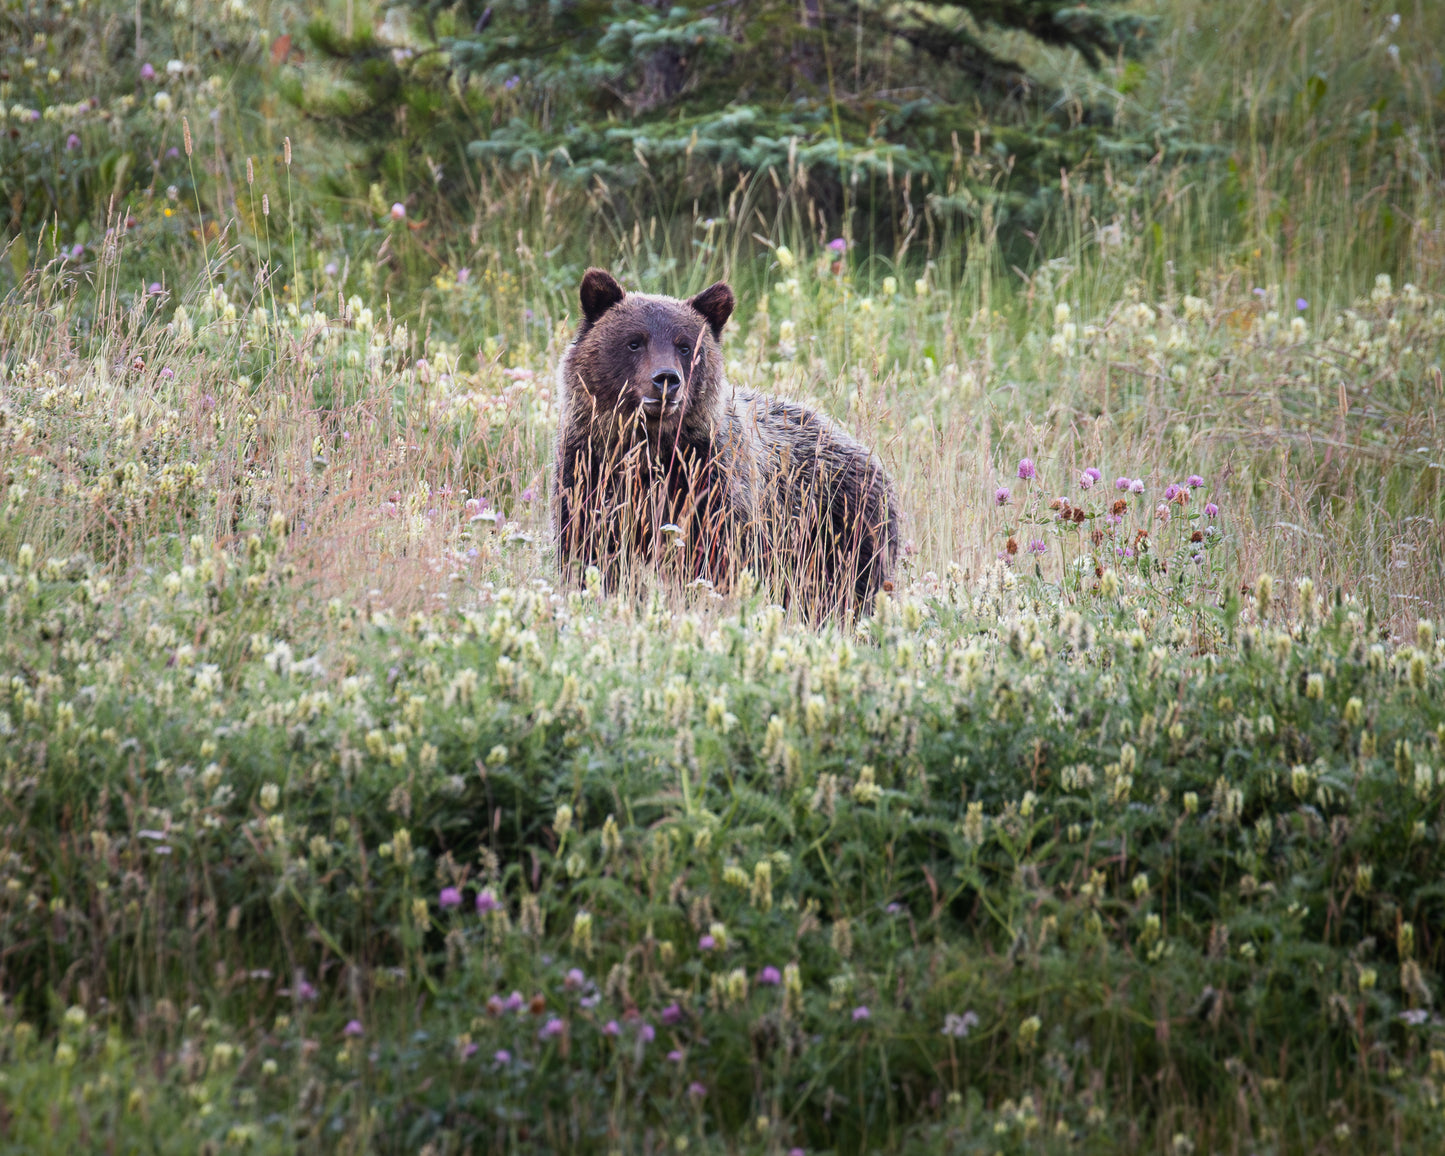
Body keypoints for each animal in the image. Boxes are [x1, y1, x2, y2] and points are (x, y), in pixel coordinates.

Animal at [551, 268, 899, 619]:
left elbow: (713, 558)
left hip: (843, 524)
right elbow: (589, 551)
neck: (652, 448)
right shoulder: (589, 471)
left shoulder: (711, 483)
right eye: (634, 342)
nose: (666, 379)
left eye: (685, 346)